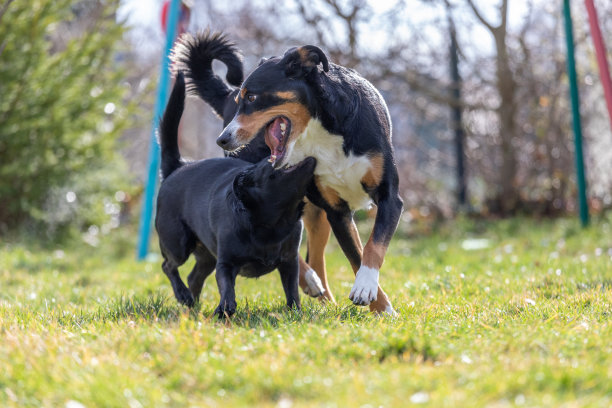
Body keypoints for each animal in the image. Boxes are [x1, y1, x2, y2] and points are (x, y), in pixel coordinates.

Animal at [154, 71, 316, 318]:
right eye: (268, 161)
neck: (273, 220)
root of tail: (178, 166)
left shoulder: (289, 263)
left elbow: (292, 291)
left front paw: (295, 312)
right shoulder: (226, 264)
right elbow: (227, 288)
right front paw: (225, 309)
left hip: (206, 256)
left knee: (193, 276)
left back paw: (192, 303)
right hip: (178, 244)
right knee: (168, 266)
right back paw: (182, 294)